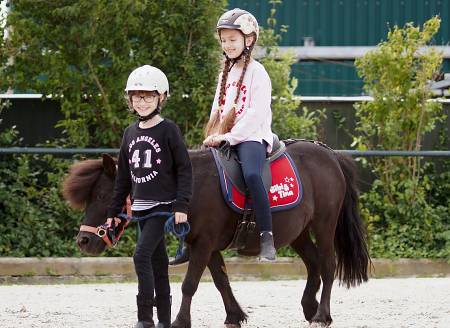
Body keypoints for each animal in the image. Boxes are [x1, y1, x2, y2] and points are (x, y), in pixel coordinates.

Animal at [64, 140, 372, 326]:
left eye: (103, 195)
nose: (84, 240)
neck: (191, 186)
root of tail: (331, 155)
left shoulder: (203, 243)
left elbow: (190, 284)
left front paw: (180, 321)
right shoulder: (207, 246)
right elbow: (221, 281)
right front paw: (234, 315)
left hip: (324, 225)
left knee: (328, 265)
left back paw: (322, 314)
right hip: (298, 233)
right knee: (314, 264)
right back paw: (309, 307)